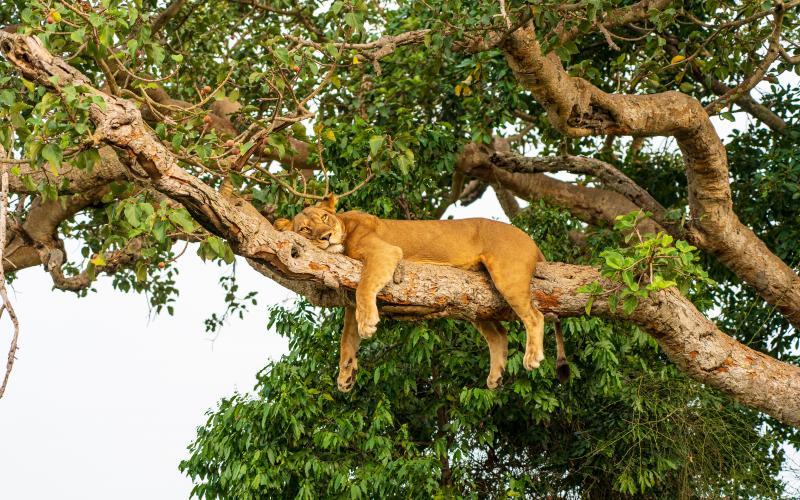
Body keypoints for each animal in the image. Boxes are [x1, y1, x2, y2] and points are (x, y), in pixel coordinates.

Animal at [274, 195, 568, 392]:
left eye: (325, 218)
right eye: (305, 229)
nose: (326, 237)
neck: (345, 224)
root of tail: (530, 240)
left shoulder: (385, 252)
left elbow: (364, 288)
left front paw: (368, 324)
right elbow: (347, 336)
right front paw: (346, 374)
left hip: (507, 276)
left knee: (534, 316)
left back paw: (532, 358)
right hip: (474, 298)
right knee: (499, 334)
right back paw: (495, 376)